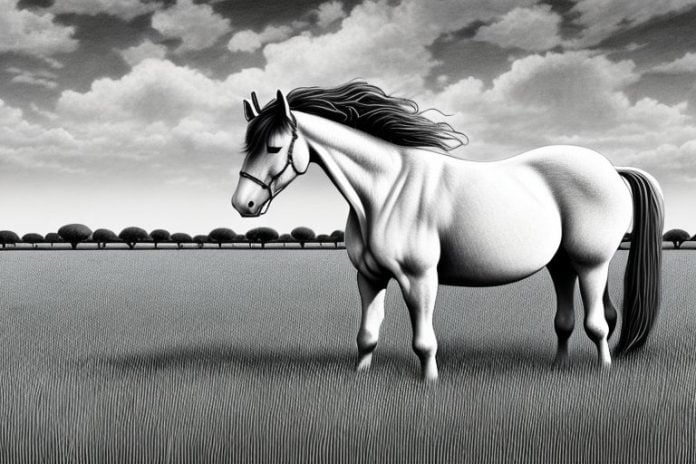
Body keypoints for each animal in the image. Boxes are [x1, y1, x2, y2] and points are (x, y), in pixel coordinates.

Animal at [231, 82, 664, 381]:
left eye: (273, 147)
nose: (243, 205)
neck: (387, 190)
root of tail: (611, 169)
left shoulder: (419, 278)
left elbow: (424, 341)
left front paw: (429, 385)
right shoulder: (370, 278)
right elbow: (367, 335)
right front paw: (360, 379)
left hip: (592, 264)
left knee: (597, 324)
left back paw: (603, 372)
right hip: (561, 265)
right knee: (567, 321)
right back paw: (558, 368)